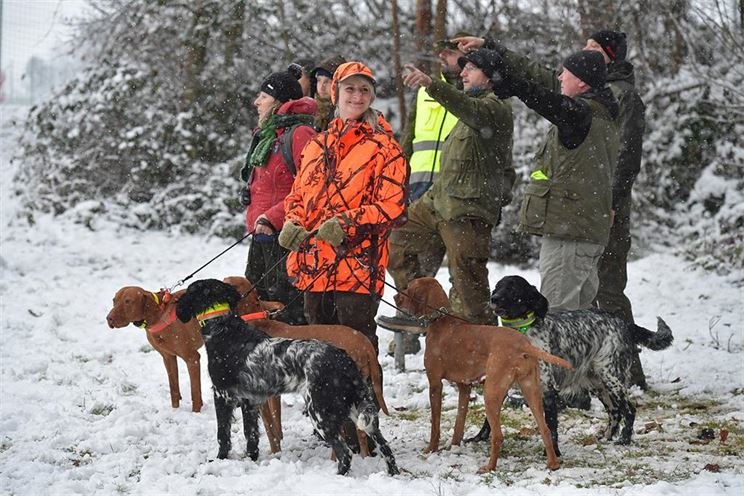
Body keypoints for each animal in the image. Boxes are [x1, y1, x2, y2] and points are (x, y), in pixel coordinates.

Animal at [107, 286, 284, 454]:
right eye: (114, 300)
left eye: (128, 301)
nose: (109, 318)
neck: (159, 314)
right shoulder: (168, 358)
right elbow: (174, 388)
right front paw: (175, 410)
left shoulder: (192, 358)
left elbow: (195, 392)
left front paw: (195, 413)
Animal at [396, 278, 568, 470]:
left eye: (408, 287)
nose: (395, 297)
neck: (440, 319)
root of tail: (523, 344)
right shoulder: (465, 387)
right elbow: (459, 422)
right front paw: (454, 447)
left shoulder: (435, 384)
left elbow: (435, 425)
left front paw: (430, 449)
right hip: (532, 391)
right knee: (545, 428)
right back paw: (553, 464)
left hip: (491, 393)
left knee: (498, 435)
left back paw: (489, 468)